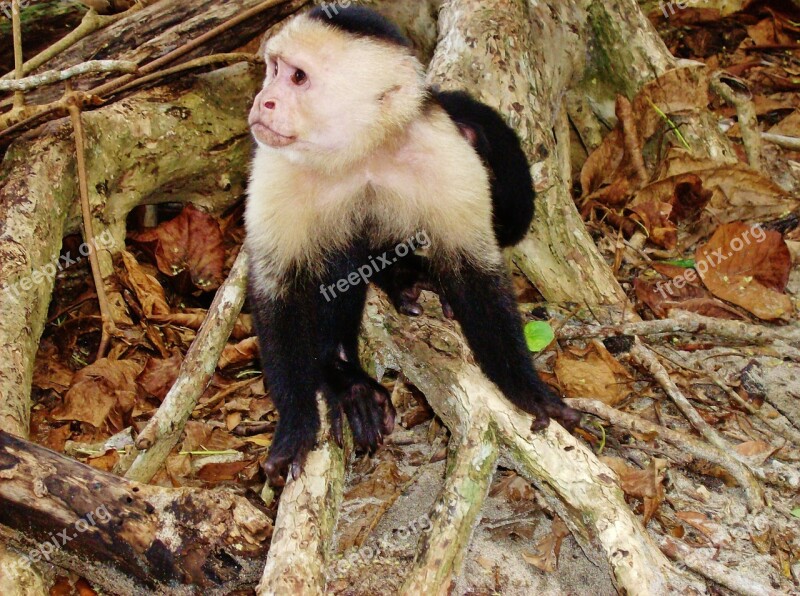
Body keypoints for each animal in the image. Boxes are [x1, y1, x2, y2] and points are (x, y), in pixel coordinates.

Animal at [245, 7, 580, 486]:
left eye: (297, 78)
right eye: (273, 70)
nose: (263, 101)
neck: (361, 152)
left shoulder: (443, 152)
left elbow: (475, 271)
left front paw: (525, 390)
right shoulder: (277, 167)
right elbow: (278, 289)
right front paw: (297, 425)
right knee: (337, 252)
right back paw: (346, 374)